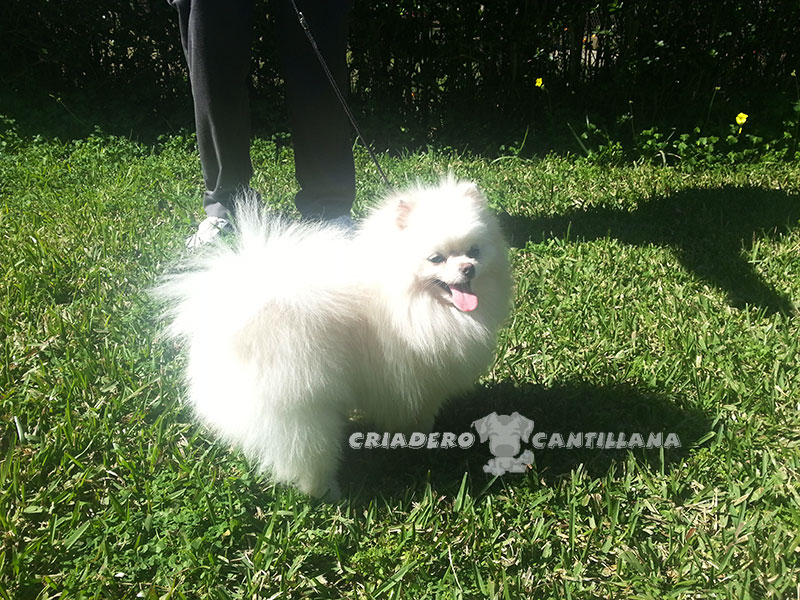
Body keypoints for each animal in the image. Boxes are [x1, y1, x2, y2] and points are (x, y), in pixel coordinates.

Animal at [157, 178, 512, 499]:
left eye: (474, 250)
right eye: (436, 258)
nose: (468, 268)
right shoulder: (415, 377)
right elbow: (419, 413)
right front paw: (419, 440)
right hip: (302, 412)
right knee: (306, 455)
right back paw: (328, 494)